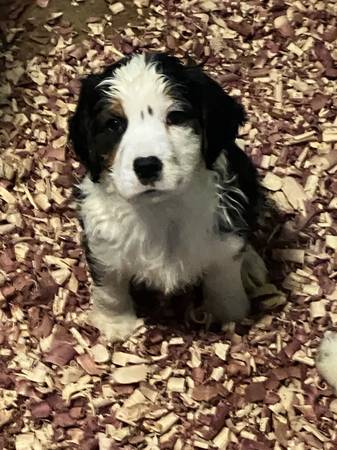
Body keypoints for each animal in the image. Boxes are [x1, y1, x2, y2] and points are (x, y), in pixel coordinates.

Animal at [69, 51, 266, 342]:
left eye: (176, 117)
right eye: (114, 124)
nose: (146, 165)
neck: (163, 211)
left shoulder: (223, 243)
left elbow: (224, 281)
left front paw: (229, 314)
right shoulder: (103, 243)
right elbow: (110, 286)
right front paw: (116, 323)